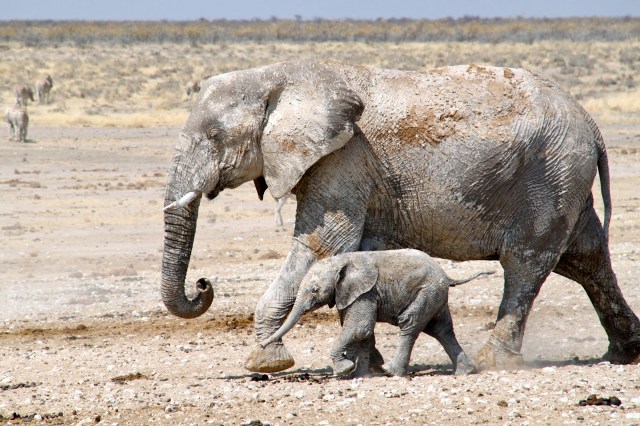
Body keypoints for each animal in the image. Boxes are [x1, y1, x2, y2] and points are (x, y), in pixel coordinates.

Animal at [261, 249, 492, 377]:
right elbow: (363, 332)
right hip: (436, 295)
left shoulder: (365, 292)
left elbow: (359, 328)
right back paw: (465, 371)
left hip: (428, 290)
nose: (262, 345)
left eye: (314, 290)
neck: (340, 261)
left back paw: (391, 371)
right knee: (441, 330)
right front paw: (360, 375)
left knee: (411, 323)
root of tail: (446, 274)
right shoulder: (350, 294)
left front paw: (344, 369)